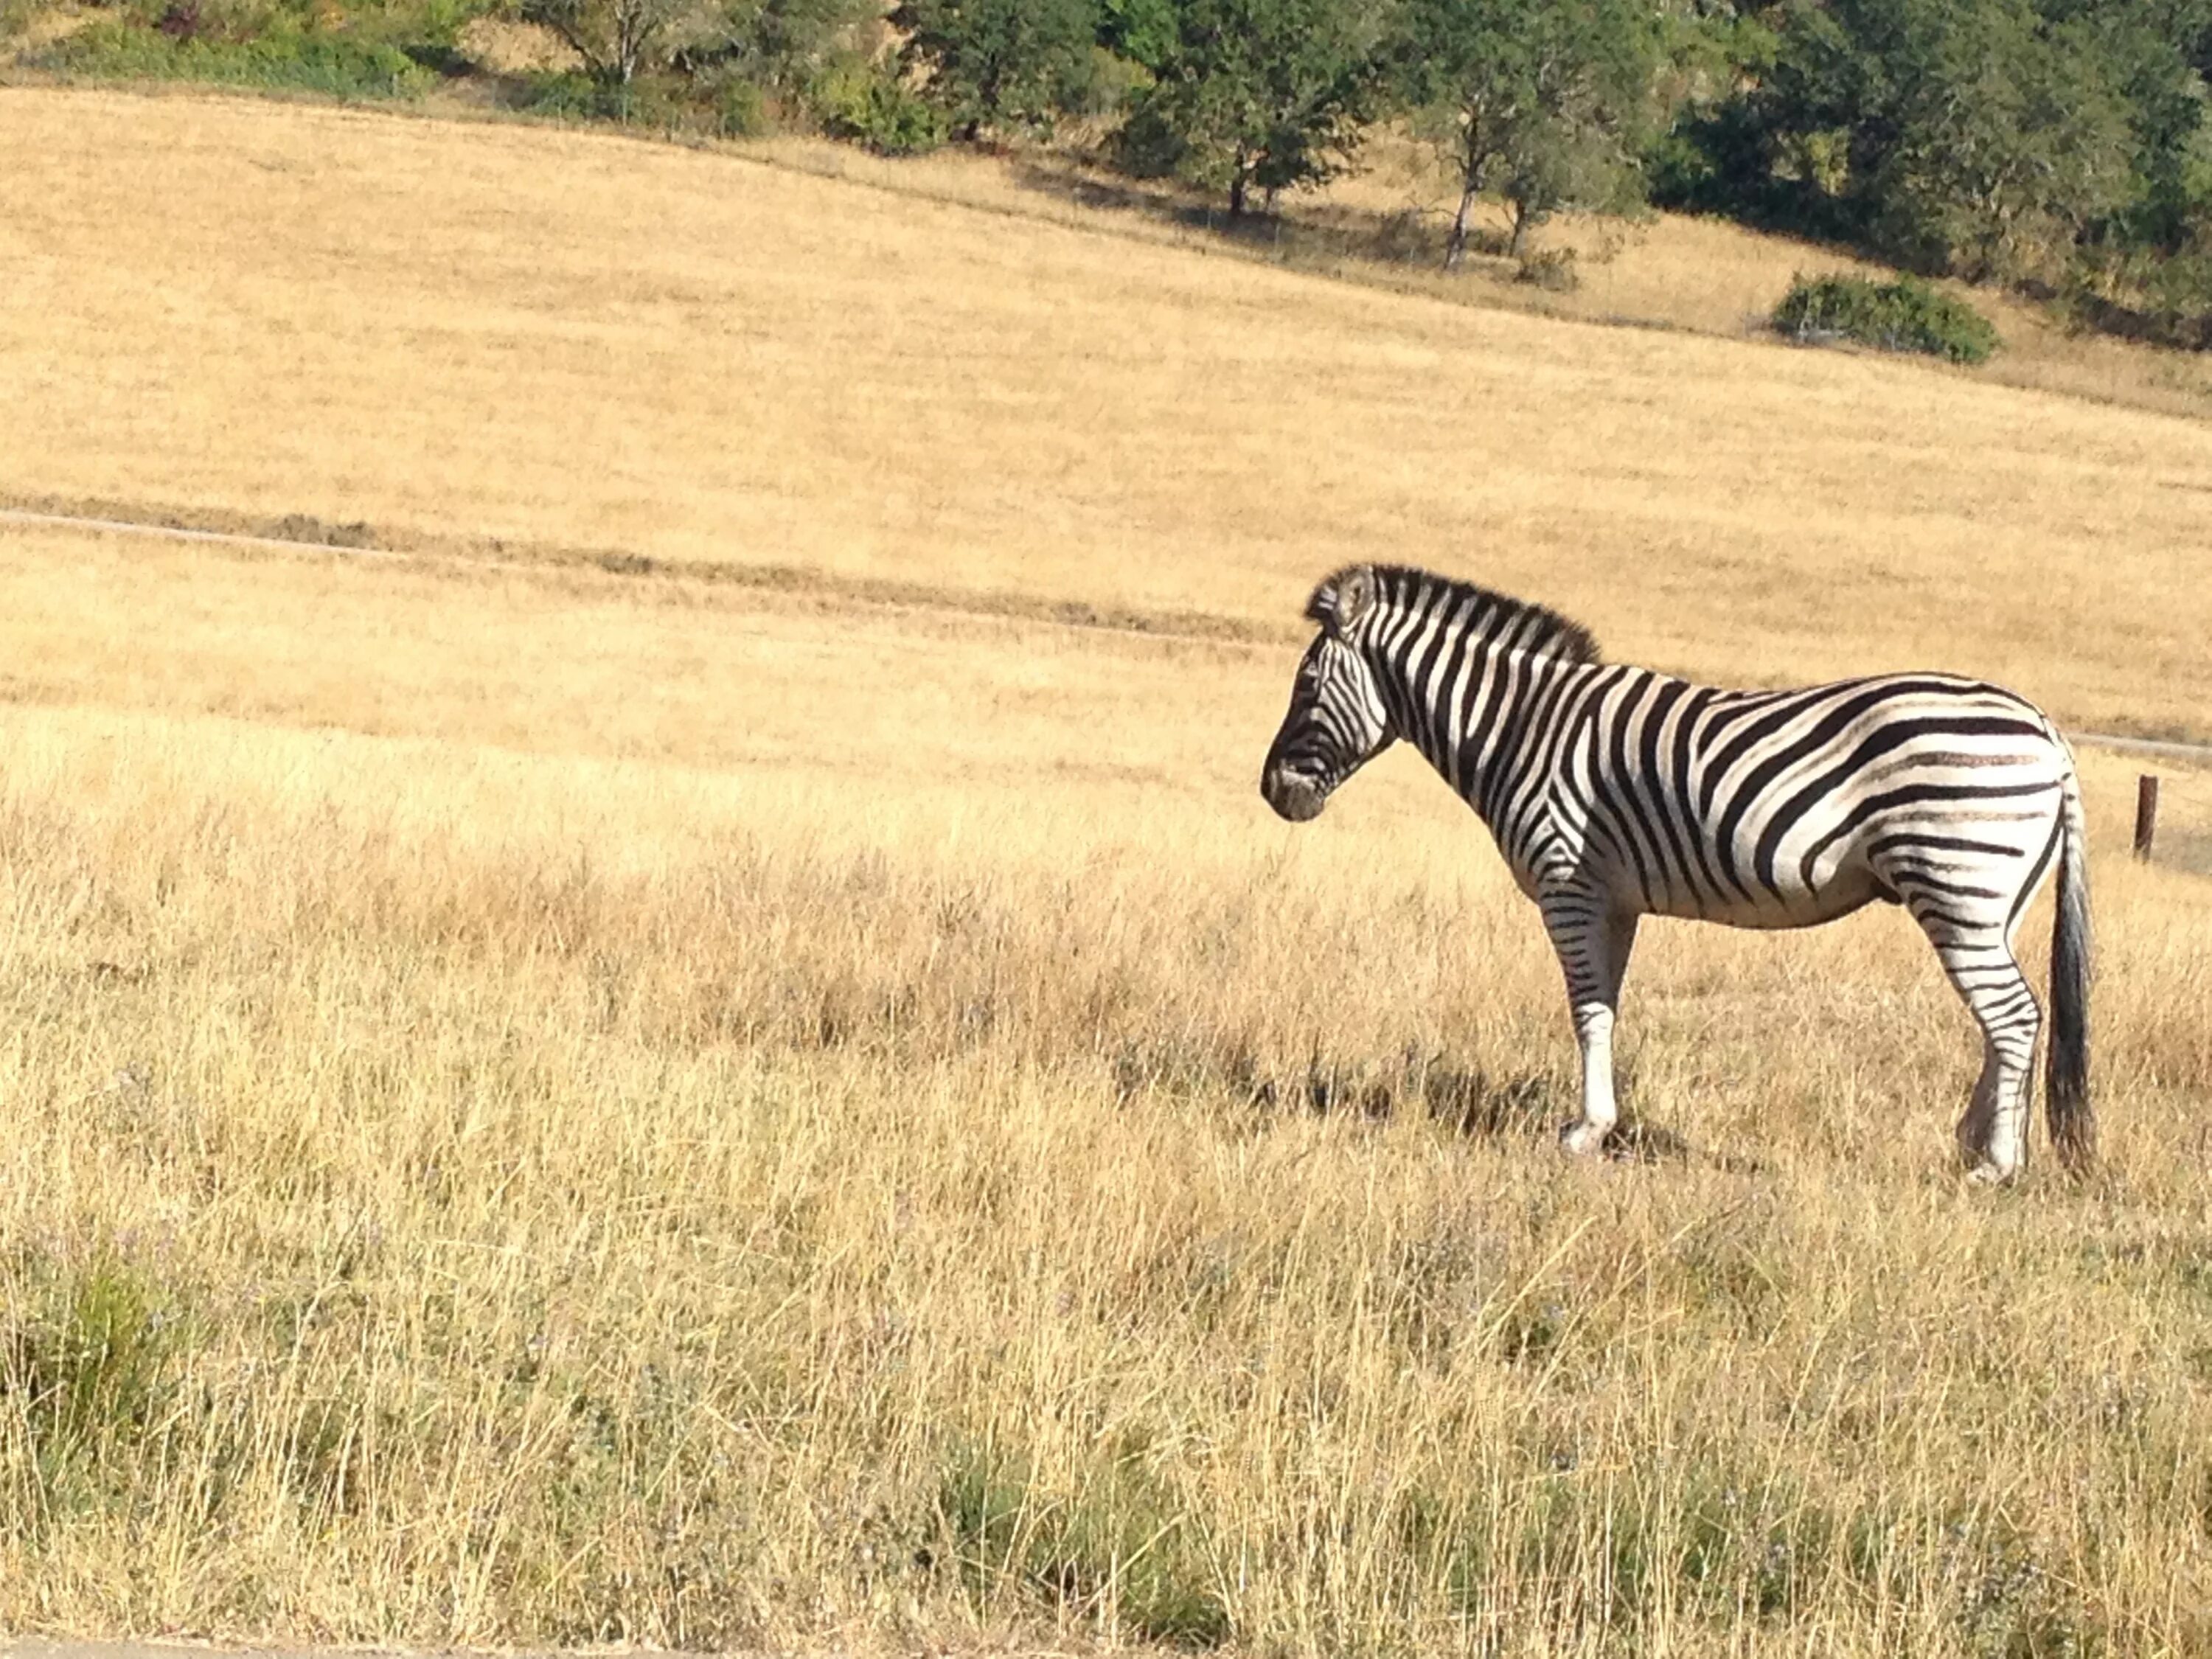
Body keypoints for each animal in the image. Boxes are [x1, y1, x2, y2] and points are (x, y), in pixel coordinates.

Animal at [1265, 571, 2088, 1186]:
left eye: (1306, 685)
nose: (1273, 792)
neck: (1523, 727)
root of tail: (2046, 730)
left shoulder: (1569, 886)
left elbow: (1587, 1011)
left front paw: (1586, 1131)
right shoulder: (1616, 901)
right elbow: (1607, 1006)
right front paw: (1600, 1123)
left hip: (1955, 881)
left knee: (2014, 1016)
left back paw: (1996, 1164)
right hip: (1993, 901)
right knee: (2005, 1019)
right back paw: (1972, 1141)